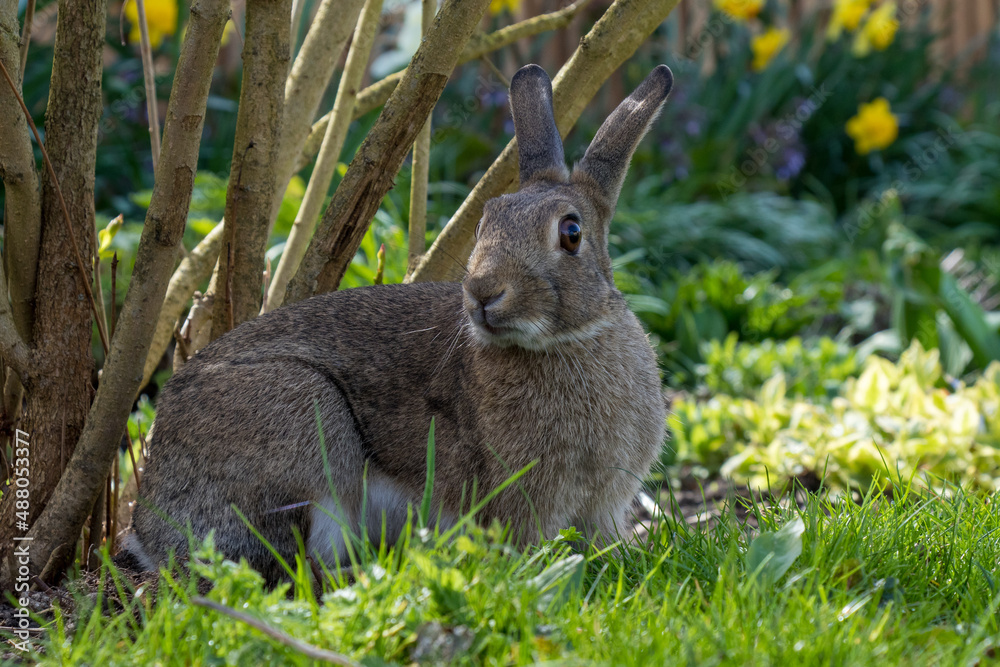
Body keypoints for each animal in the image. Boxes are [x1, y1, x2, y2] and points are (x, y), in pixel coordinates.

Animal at [125, 63, 674, 584]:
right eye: (484, 222)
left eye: (572, 232)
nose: (482, 292)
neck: (568, 341)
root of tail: (145, 526)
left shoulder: (605, 502)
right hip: (304, 416)